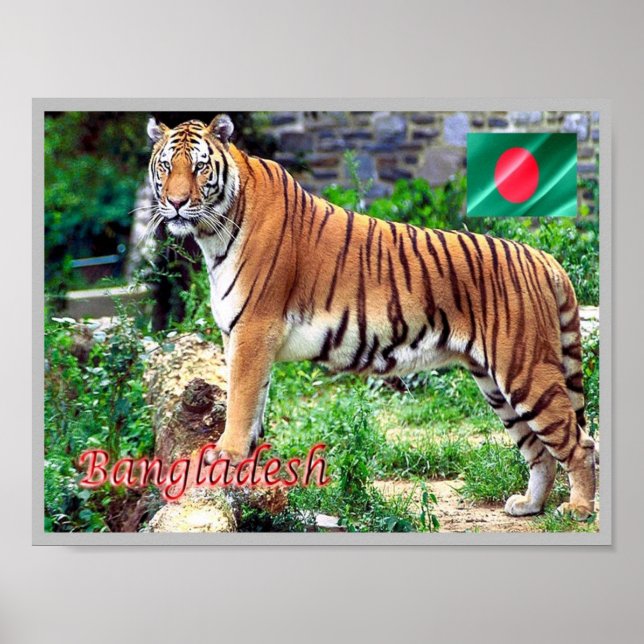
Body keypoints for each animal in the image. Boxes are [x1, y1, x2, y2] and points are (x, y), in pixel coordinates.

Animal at [146, 114, 597, 520]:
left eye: (200, 166)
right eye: (166, 166)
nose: (176, 203)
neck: (213, 234)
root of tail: (543, 258)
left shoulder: (254, 330)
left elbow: (240, 401)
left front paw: (226, 455)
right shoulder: (241, 337)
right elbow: (254, 401)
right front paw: (251, 462)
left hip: (525, 369)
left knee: (579, 443)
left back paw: (577, 509)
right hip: (495, 383)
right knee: (539, 451)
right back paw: (529, 505)